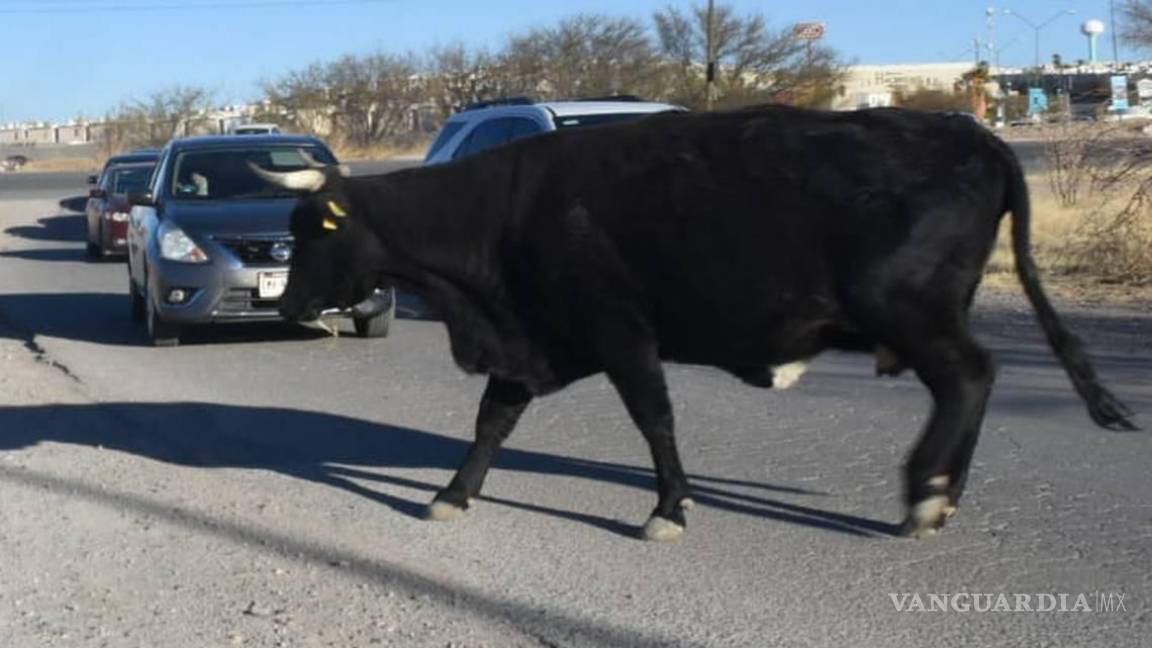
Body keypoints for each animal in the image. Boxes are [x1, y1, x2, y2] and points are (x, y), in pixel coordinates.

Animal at [252, 106, 1133, 539]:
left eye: (315, 229)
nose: (288, 304)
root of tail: (966, 130)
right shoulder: (533, 342)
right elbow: (491, 423)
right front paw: (452, 495)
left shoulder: (621, 333)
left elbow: (655, 419)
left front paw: (669, 508)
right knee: (971, 383)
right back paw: (940, 495)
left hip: (913, 311)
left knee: (971, 377)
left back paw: (927, 494)